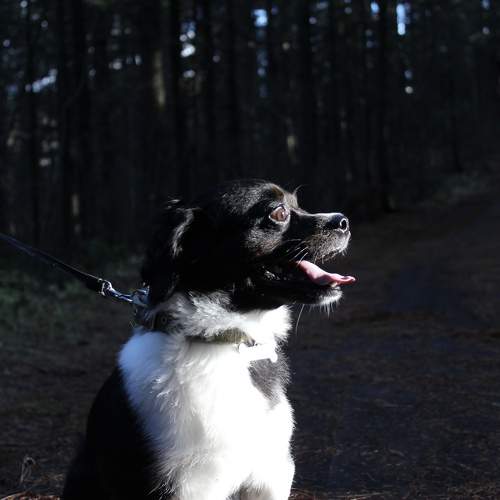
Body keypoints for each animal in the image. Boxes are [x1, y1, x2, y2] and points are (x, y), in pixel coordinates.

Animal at [63, 179, 354, 500]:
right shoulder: (184, 485)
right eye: (278, 213)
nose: (343, 221)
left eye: (298, 204)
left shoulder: (269, 473)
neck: (222, 340)